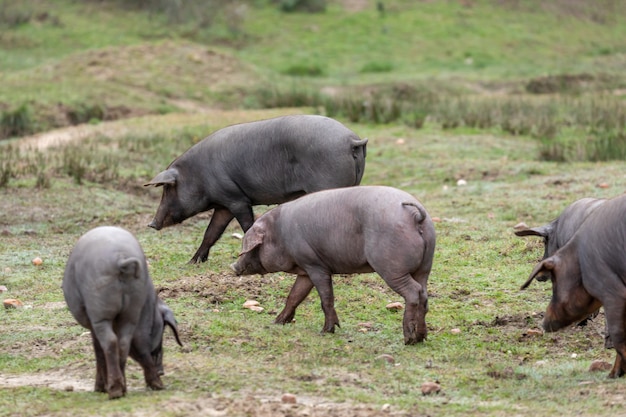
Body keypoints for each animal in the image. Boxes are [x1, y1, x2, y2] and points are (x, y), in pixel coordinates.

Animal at [61, 226, 182, 398]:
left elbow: (98, 350)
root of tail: (121, 259)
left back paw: (114, 391)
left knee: (111, 342)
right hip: (131, 311)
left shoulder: (93, 322)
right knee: (125, 343)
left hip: (100, 310)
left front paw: (99, 389)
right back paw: (139, 387)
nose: (162, 371)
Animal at [144, 114, 366, 264]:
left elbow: (247, 226)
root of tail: (351, 140)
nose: (152, 224)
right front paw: (193, 262)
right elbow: (211, 232)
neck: (198, 174)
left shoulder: (237, 199)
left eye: (168, 189)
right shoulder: (224, 204)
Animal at [229, 185, 434, 344]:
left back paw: (408, 339)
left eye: (251, 247)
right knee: (423, 294)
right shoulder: (305, 269)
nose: (233, 267)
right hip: (425, 266)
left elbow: (326, 298)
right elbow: (294, 296)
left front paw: (326, 331)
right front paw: (277, 322)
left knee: (413, 292)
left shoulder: (315, 266)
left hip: (392, 268)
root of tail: (416, 216)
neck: (280, 234)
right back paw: (421, 338)